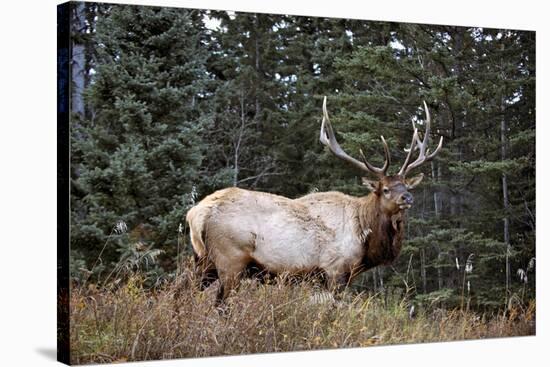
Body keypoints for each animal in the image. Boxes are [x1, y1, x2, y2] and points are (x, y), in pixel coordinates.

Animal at [187, 97, 444, 304]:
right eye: (387, 189)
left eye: (406, 185)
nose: (407, 197)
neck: (365, 236)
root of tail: (197, 213)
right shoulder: (335, 270)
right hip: (230, 259)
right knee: (220, 303)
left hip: (204, 260)